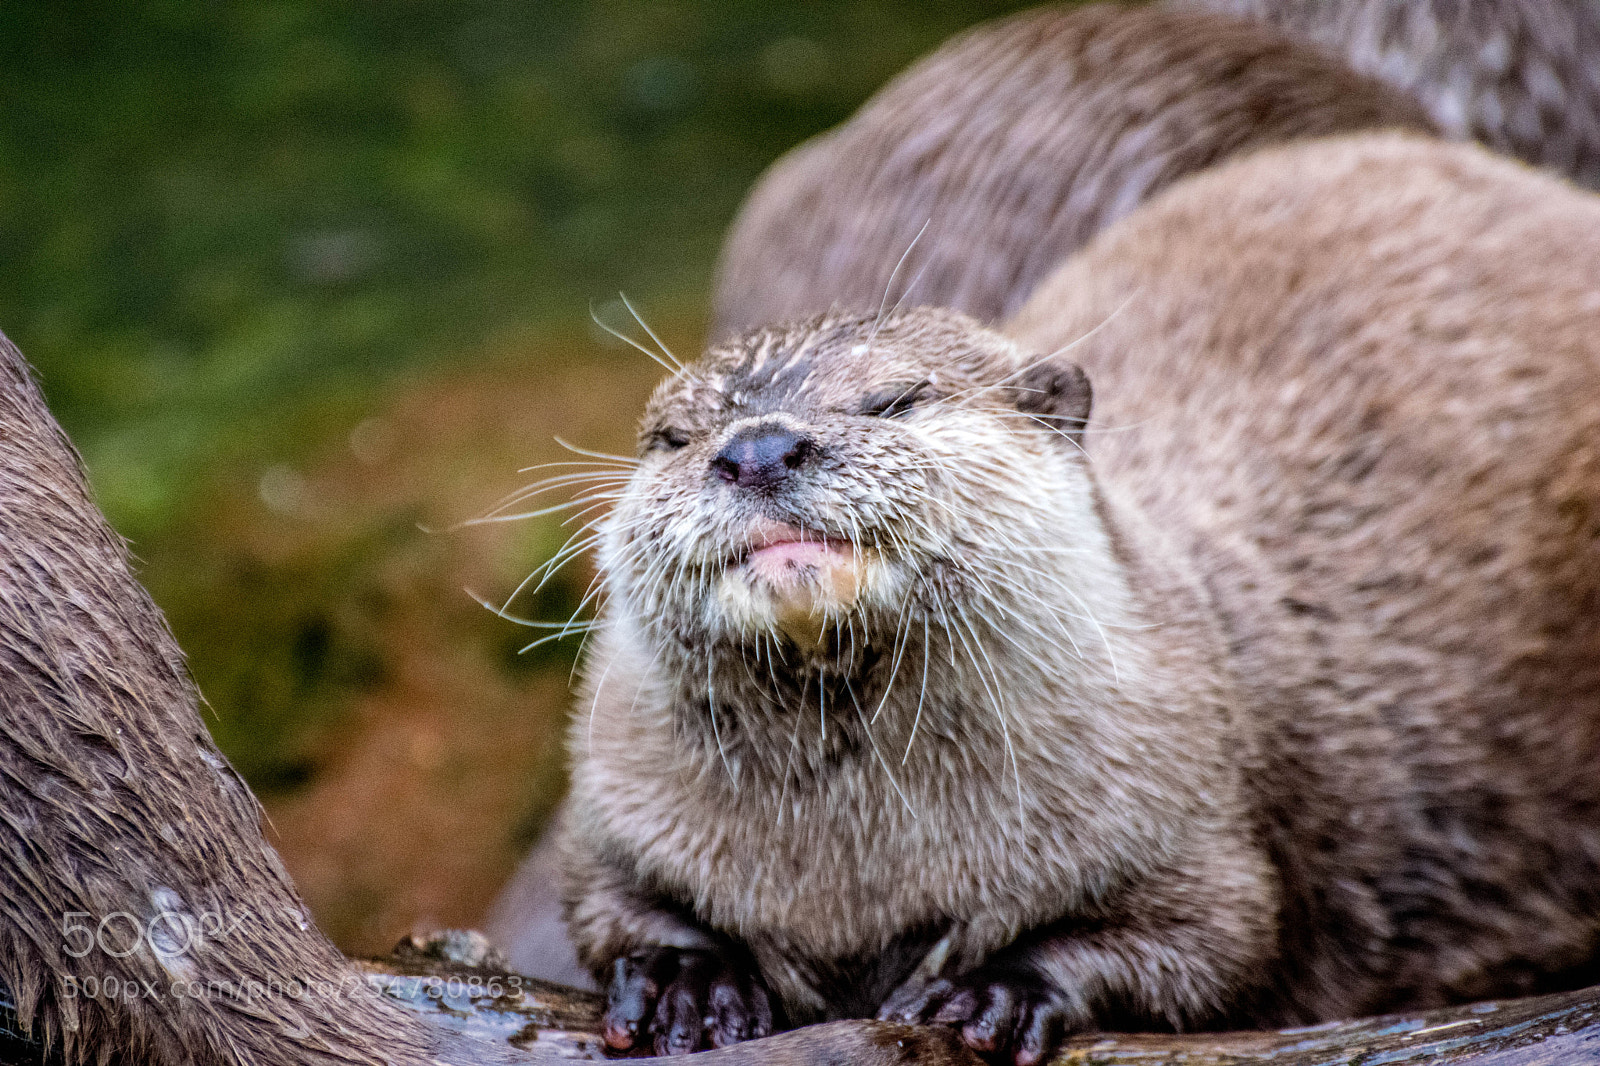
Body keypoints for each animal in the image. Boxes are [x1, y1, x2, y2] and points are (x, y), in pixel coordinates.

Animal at [558, 133, 1600, 1064]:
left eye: (894, 399)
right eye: (675, 437)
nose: (758, 448)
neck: (861, 880)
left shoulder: (1197, 822)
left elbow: (1210, 946)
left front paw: (999, 988)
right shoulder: (616, 798)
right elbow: (605, 903)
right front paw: (685, 978)